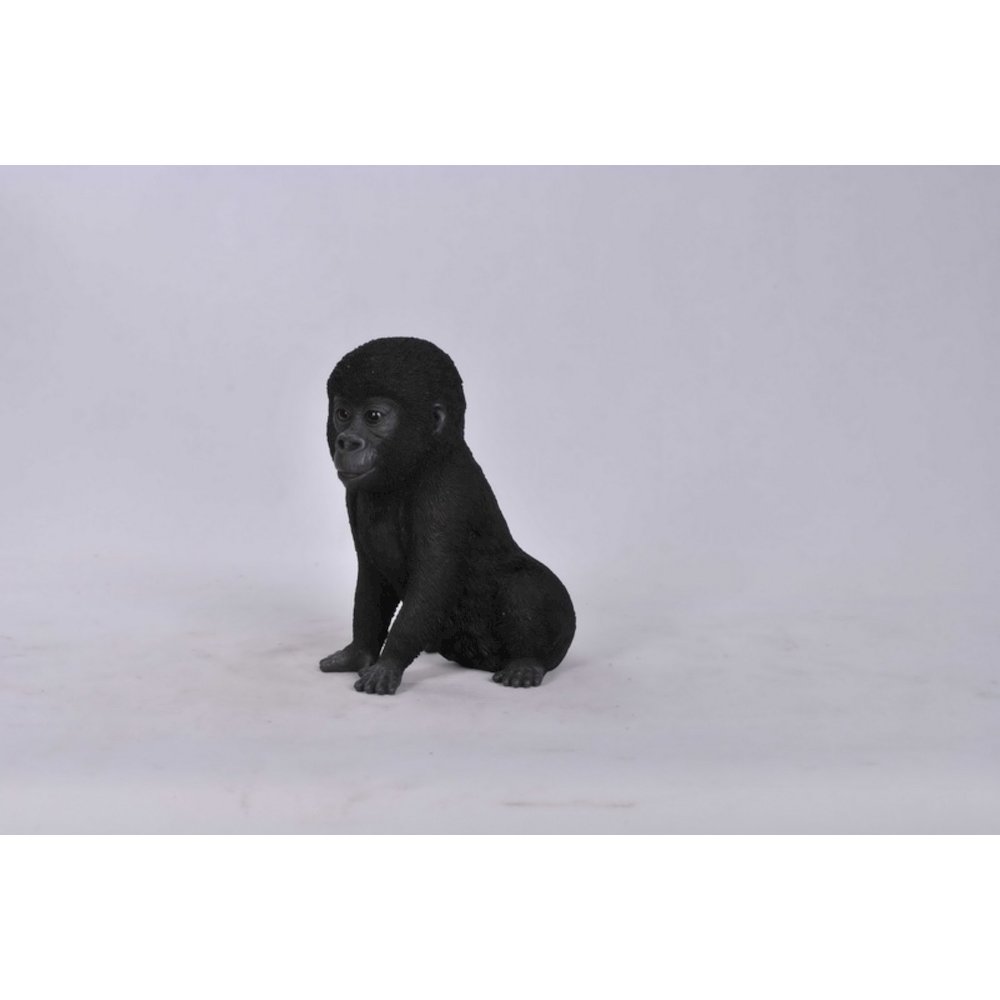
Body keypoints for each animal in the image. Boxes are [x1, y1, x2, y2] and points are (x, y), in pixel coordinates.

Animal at [319, 337, 575, 695]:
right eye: (342, 414)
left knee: (524, 585)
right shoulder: (354, 494)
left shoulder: (446, 489)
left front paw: (388, 663)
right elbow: (371, 579)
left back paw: (526, 662)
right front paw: (359, 654)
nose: (347, 442)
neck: (422, 459)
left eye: (373, 416)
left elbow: (433, 582)